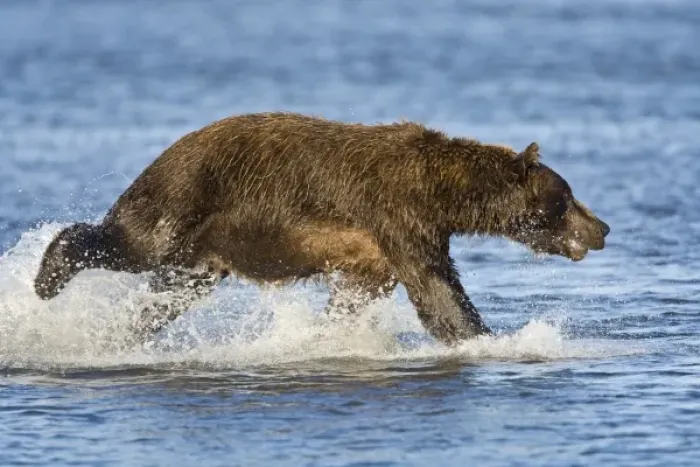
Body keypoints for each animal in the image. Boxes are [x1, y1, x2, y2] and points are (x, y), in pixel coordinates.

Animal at [34, 112, 610, 345]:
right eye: (564, 198)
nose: (602, 227)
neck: (444, 196)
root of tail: (169, 150)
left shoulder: (374, 252)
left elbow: (356, 294)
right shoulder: (398, 217)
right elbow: (438, 290)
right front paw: (493, 337)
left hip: (202, 255)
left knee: (166, 295)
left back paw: (119, 333)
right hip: (183, 198)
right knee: (132, 244)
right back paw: (45, 278)